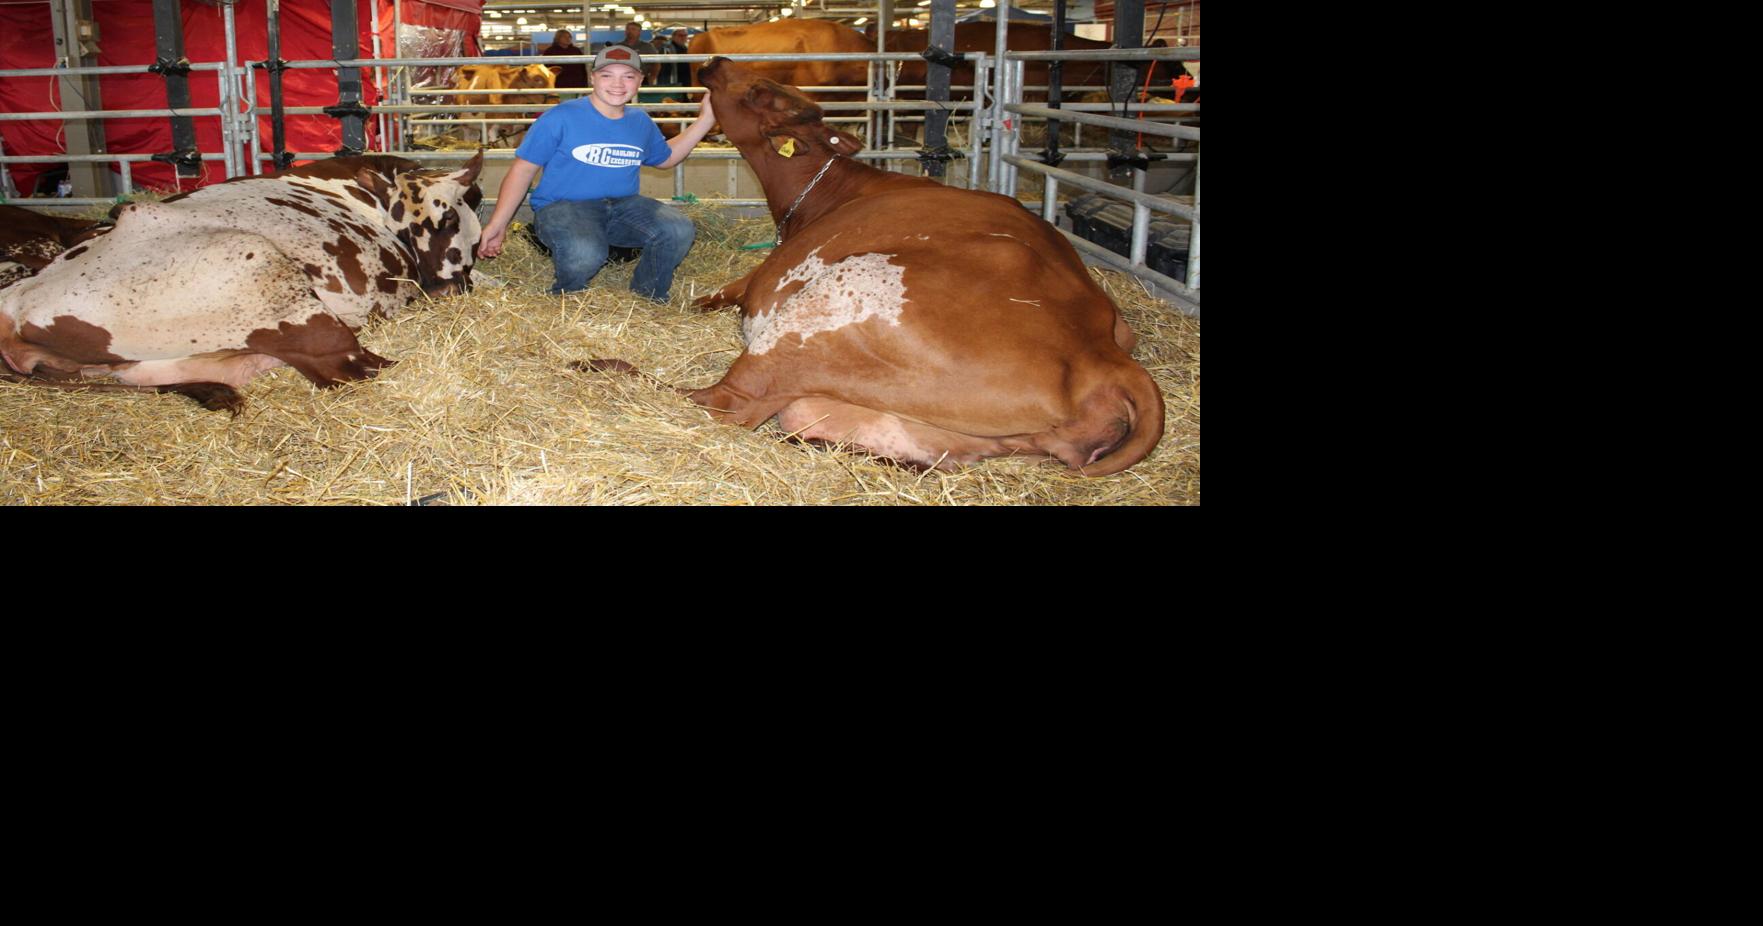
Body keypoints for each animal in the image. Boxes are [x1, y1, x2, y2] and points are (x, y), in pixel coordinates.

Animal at [599, 58, 1163, 476]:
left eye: (760, 90)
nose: (716, 61)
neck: (829, 191)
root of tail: (1107, 357)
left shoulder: (762, 278)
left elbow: (714, 295)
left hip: (819, 316)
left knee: (721, 401)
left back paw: (604, 367)